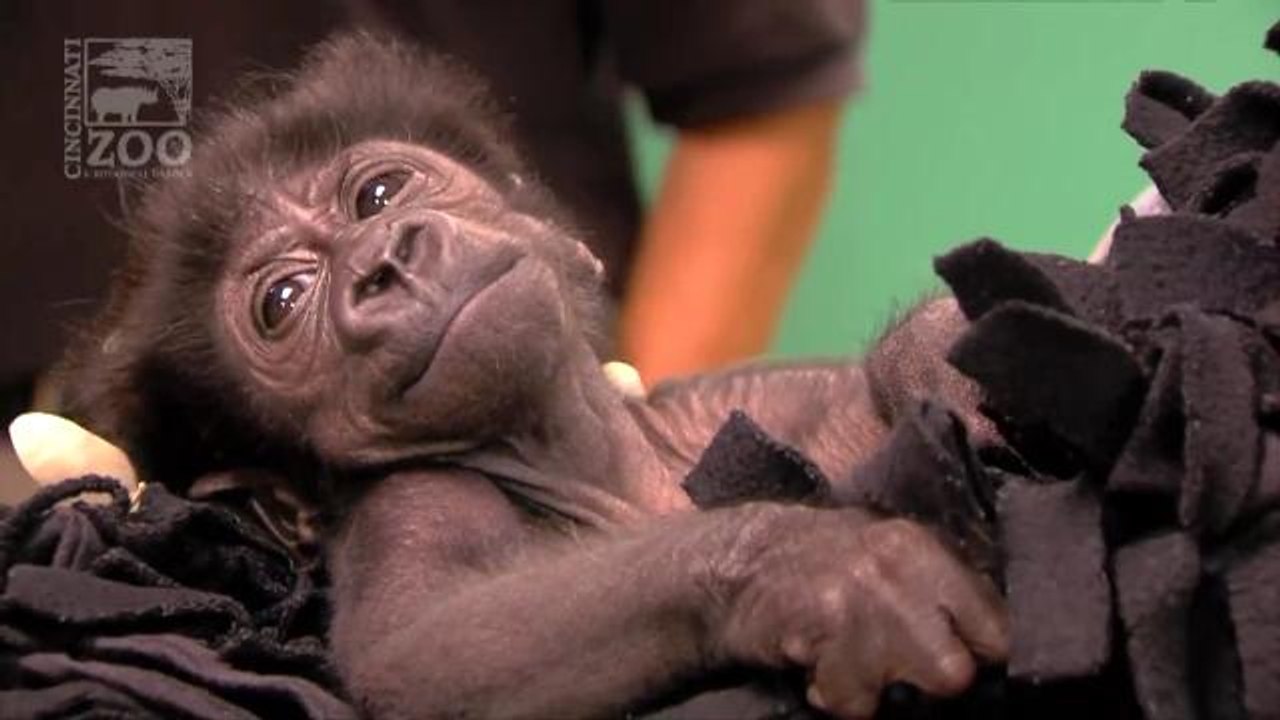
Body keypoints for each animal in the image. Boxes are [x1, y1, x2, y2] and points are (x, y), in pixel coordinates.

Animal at [58, 34, 1007, 720]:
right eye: (283, 300)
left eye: (378, 196)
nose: (382, 264)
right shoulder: (412, 503)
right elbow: (423, 649)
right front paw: (814, 568)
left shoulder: (741, 402)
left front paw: (941, 359)